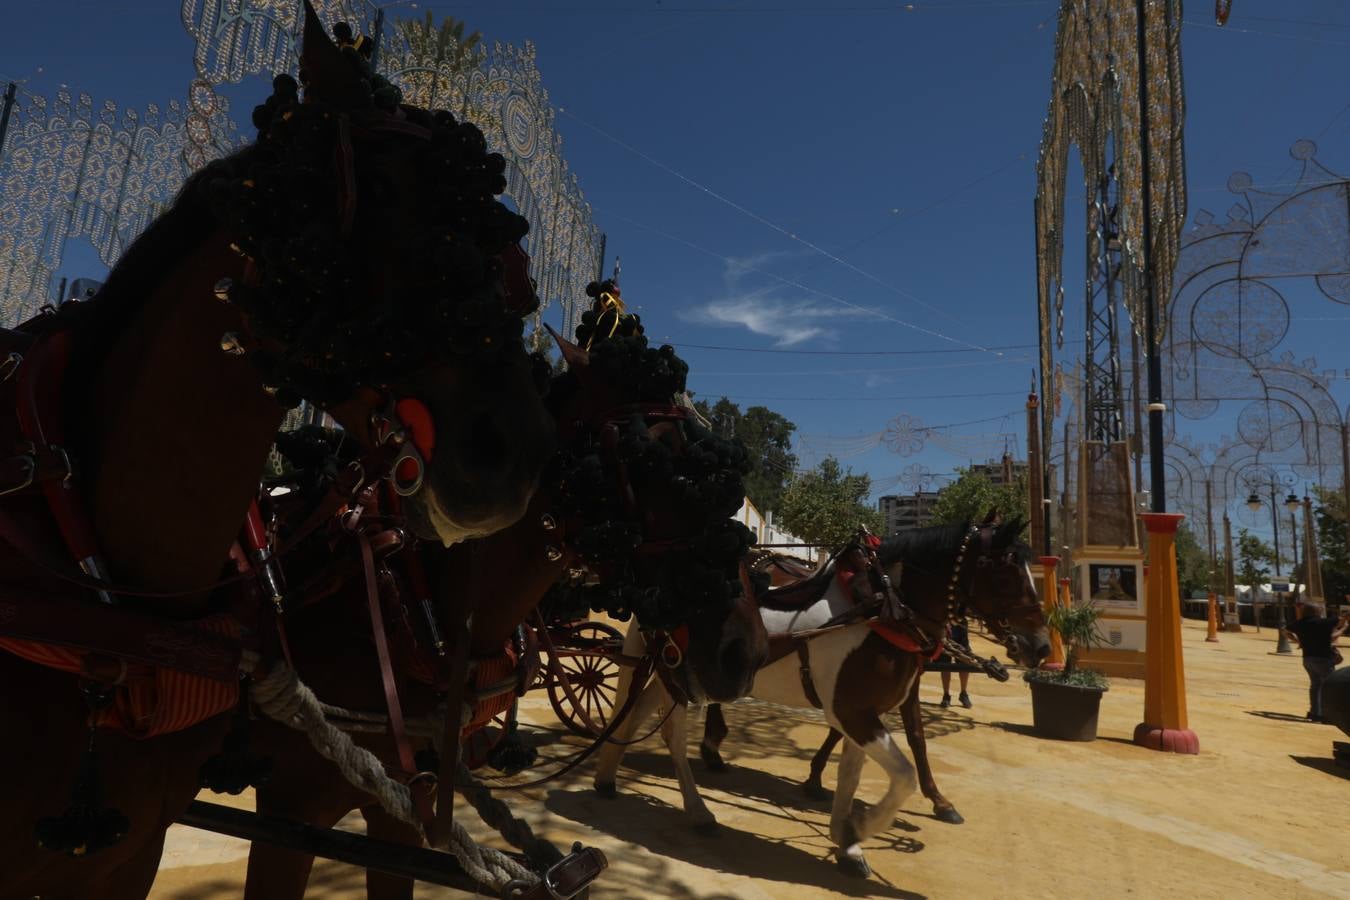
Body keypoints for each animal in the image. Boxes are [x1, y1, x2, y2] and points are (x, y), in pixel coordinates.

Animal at [594, 518, 1053, 874]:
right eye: (1007, 571)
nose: (1043, 646)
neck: (884, 608)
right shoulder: (853, 711)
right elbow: (903, 773)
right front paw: (860, 825)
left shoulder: (864, 712)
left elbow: (853, 774)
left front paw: (847, 841)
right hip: (676, 672)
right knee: (668, 731)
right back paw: (696, 808)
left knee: (637, 709)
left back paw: (607, 773)